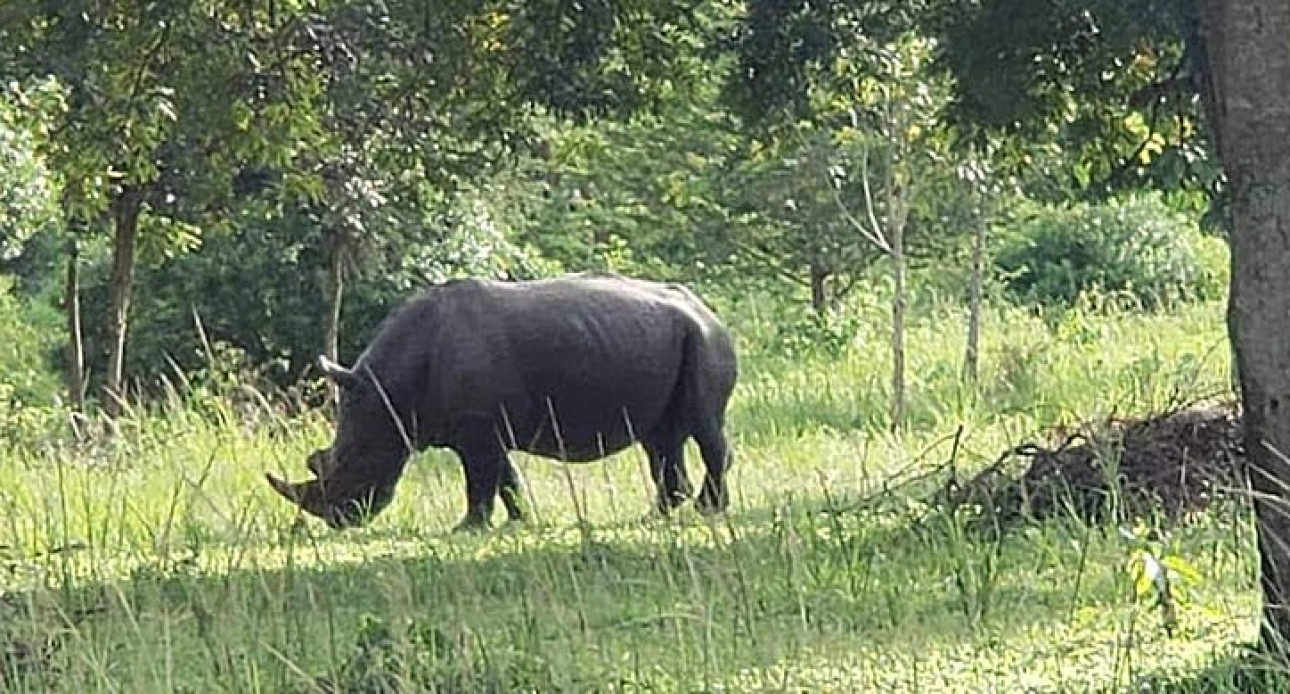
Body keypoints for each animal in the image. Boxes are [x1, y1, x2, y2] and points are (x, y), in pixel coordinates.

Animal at [264, 270, 737, 528]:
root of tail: (710, 310)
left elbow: (479, 479)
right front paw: (520, 520)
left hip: (704, 339)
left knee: (703, 426)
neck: (387, 393)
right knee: (660, 436)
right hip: (670, 338)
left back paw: (707, 511)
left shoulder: (477, 425)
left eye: (352, 460)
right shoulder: (480, 427)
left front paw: (468, 527)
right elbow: (505, 477)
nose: (339, 521)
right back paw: (657, 514)